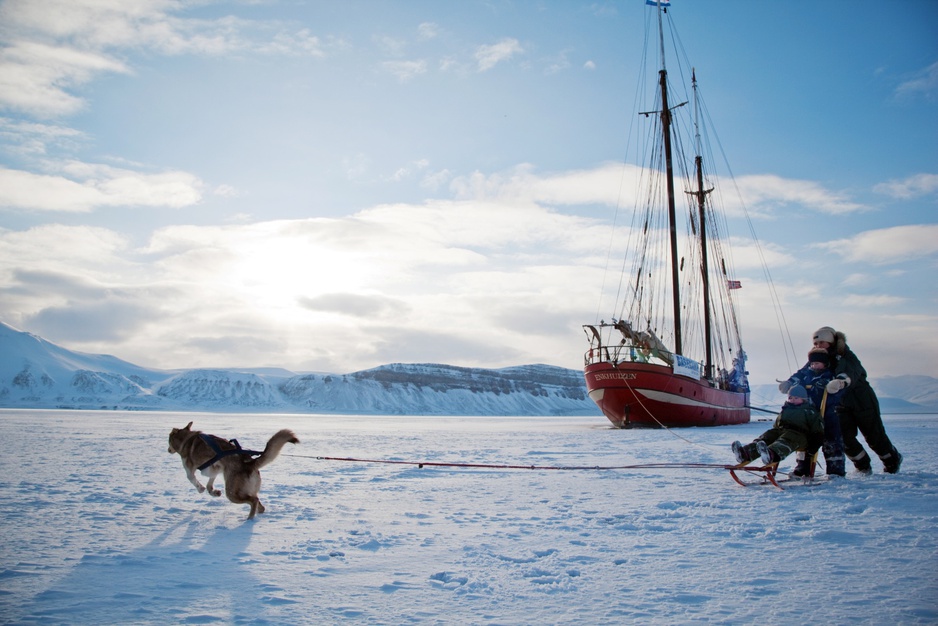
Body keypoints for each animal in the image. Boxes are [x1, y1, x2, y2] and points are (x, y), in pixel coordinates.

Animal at [166, 422, 298, 520]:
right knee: (259, 503)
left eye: (168, 440)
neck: (186, 439)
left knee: (254, 500)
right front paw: (214, 492)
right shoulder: (216, 468)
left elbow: (192, 479)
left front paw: (201, 488)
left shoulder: (189, 468)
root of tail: (249, 463)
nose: (168, 450)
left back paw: (249, 520)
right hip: (247, 489)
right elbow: (210, 484)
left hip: (232, 493)